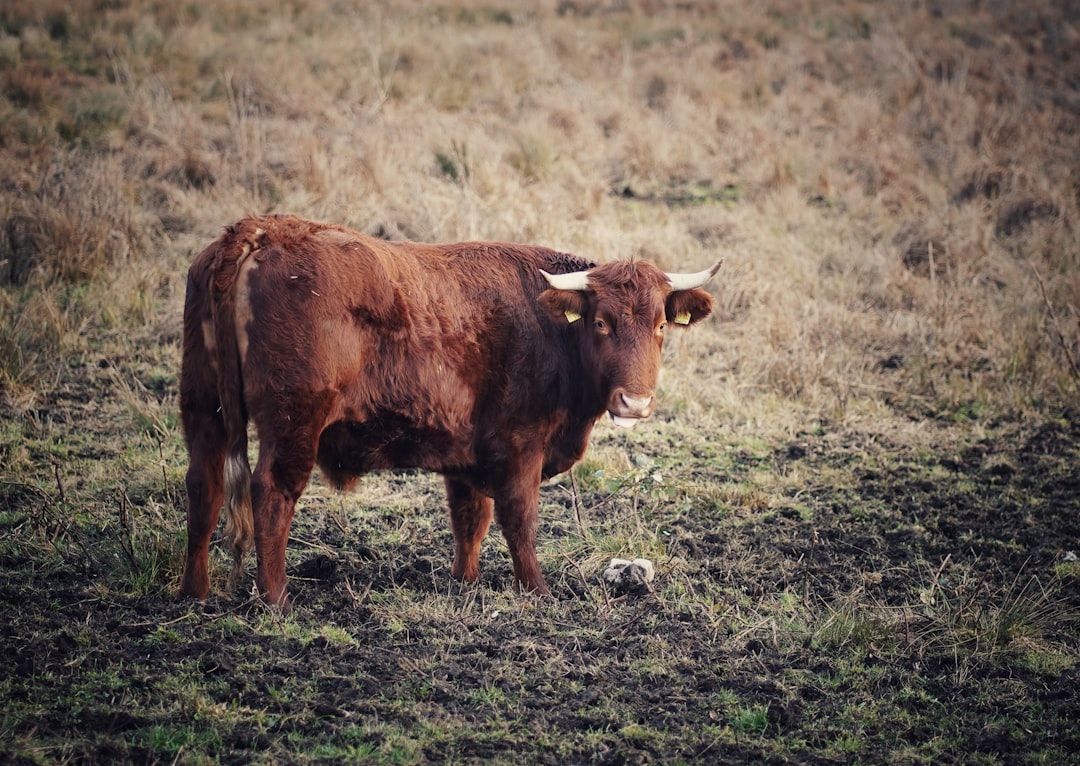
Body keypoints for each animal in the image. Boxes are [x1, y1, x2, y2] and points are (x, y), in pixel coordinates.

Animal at [177, 211, 721, 605]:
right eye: (602, 322)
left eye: (661, 325)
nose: (636, 401)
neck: (549, 327)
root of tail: (260, 231)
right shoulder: (521, 447)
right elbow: (519, 520)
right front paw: (538, 590)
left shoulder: (467, 453)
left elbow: (470, 518)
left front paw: (466, 581)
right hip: (293, 423)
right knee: (272, 493)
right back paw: (276, 598)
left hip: (203, 408)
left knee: (204, 487)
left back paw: (193, 592)